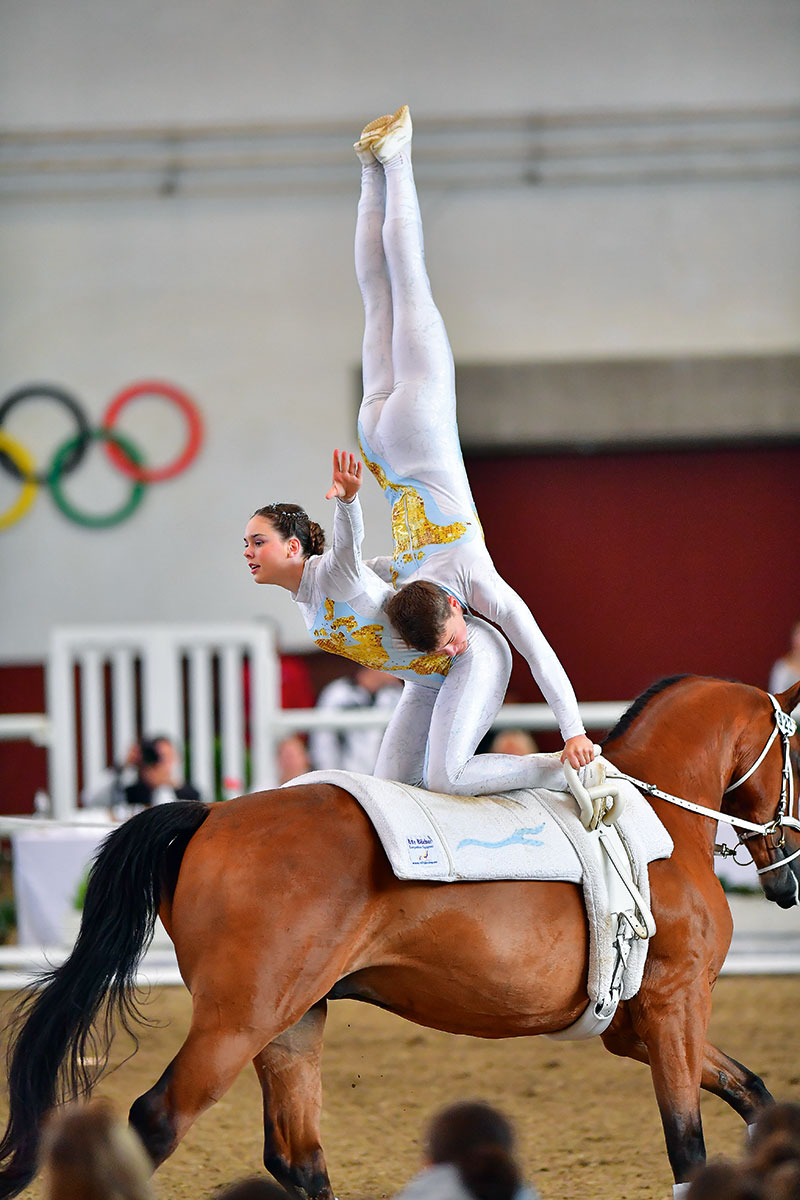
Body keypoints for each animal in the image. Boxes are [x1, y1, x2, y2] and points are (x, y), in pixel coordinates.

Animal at [0, 676, 796, 1200]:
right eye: (798, 760)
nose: (788, 877)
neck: (656, 822)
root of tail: (213, 814)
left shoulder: (633, 1026)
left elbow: (753, 1092)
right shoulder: (673, 1006)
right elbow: (687, 1143)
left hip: (291, 1022)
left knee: (298, 1158)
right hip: (236, 1021)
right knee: (157, 1120)